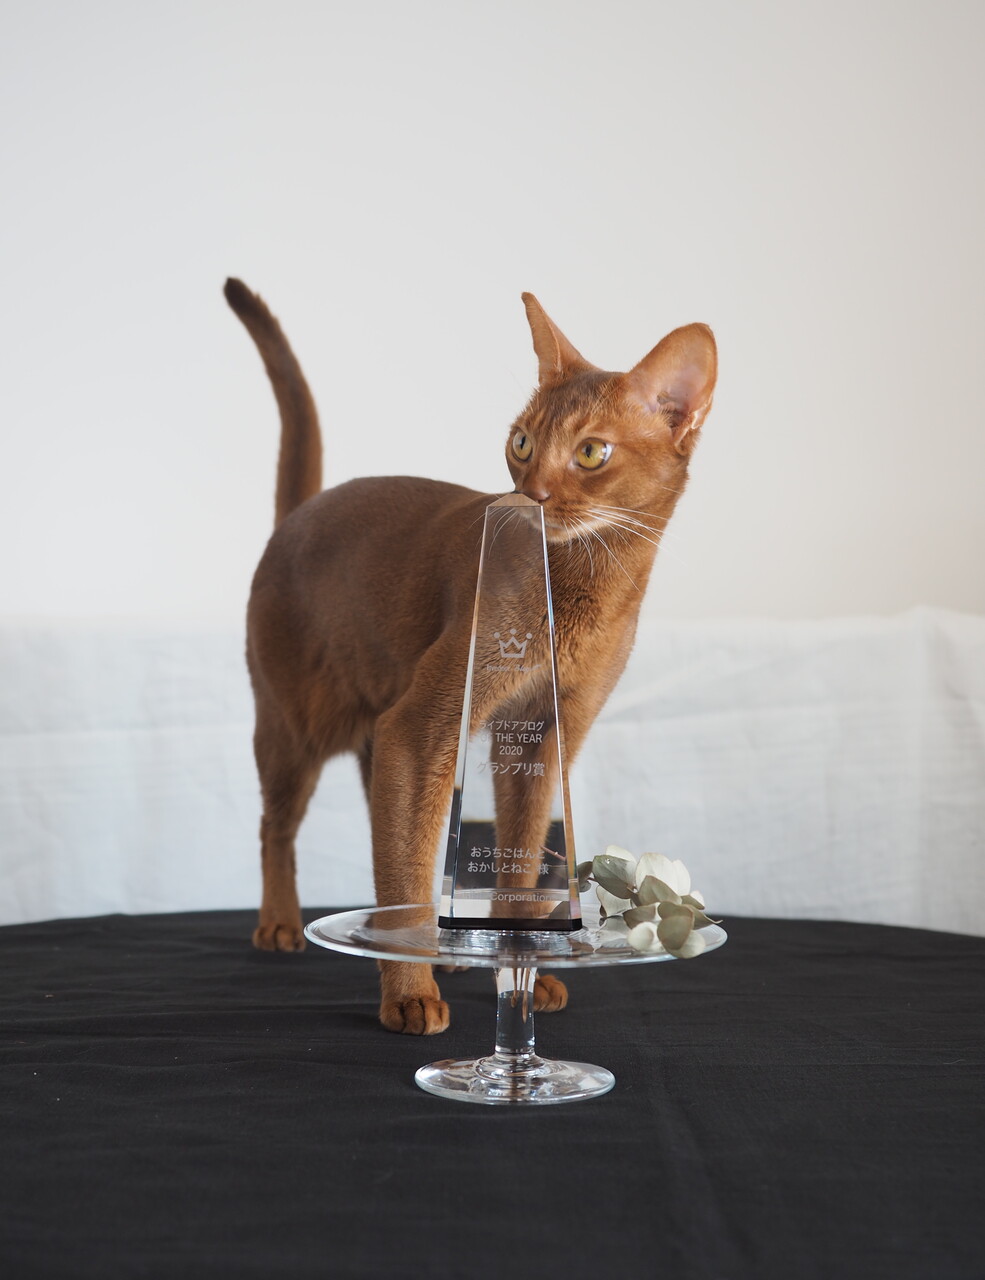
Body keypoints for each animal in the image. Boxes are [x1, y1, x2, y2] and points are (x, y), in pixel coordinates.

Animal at [224, 278, 717, 1034]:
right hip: (298, 724)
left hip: (379, 734)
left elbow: (514, 867)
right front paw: (409, 997)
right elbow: (405, 859)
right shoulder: (421, 724)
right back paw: (281, 924)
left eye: (591, 453)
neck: (587, 589)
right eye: (521, 441)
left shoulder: (543, 738)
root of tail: (299, 514)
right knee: (278, 824)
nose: (533, 492)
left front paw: (521, 971)